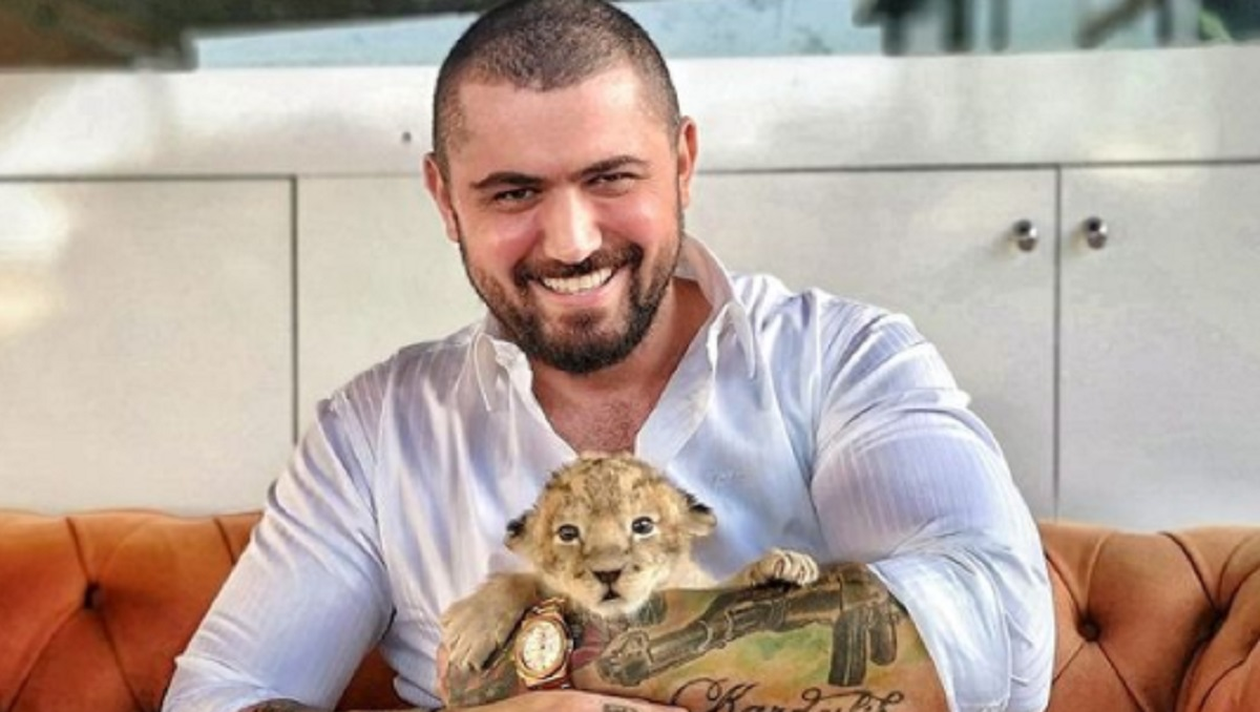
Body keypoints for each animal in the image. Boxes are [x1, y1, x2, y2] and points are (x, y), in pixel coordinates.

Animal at [441, 451, 820, 672]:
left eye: (642, 526)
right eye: (568, 533)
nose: (608, 573)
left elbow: (726, 582)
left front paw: (781, 564)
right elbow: (525, 580)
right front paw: (470, 628)